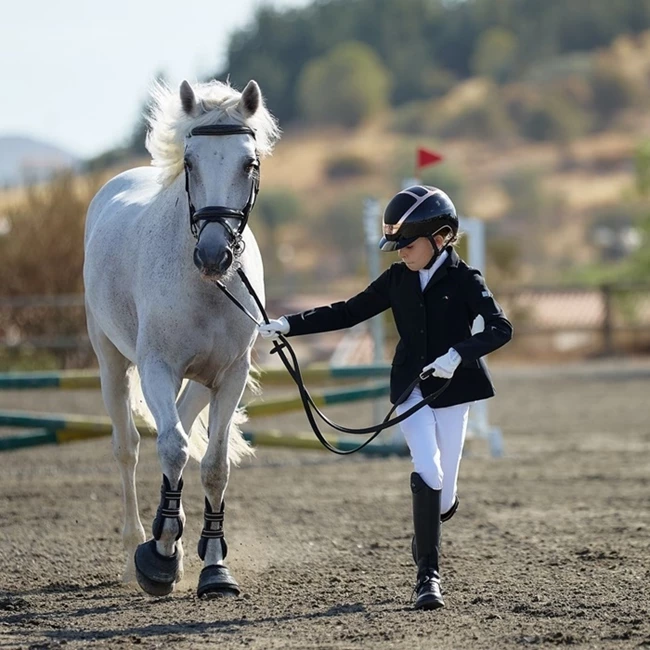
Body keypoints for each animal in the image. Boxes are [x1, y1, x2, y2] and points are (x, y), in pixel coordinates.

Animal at [83, 78, 278, 596]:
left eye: (249, 164)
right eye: (191, 163)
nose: (214, 255)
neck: (207, 288)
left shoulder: (229, 376)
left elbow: (212, 465)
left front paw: (214, 566)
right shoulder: (158, 368)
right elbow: (169, 448)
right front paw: (159, 558)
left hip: (198, 381)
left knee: (184, 432)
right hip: (112, 362)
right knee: (129, 447)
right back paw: (134, 545)